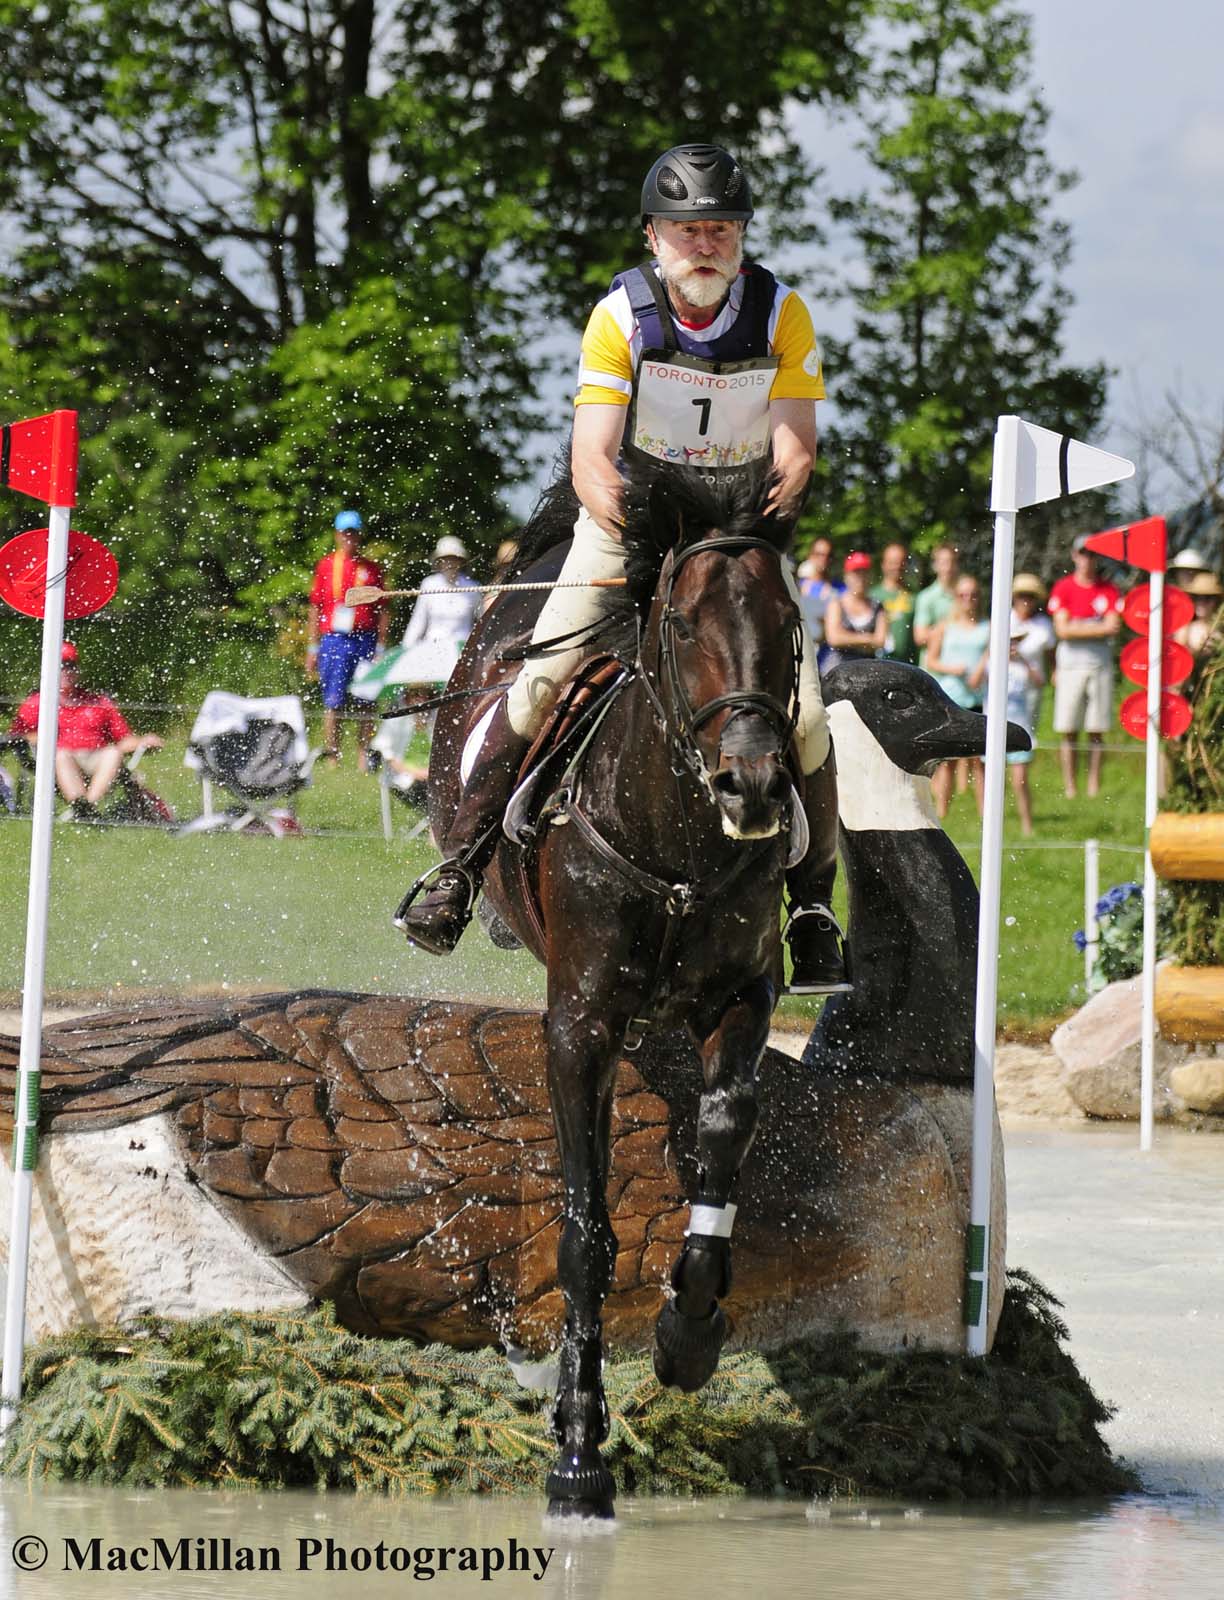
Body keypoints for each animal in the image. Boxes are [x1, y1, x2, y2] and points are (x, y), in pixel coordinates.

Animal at [428, 467, 803, 1523]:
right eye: (682, 624)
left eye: (791, 620)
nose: (753, 782)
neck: (677, 838)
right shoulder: (580, 1024)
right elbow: (583, 1234)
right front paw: (577, 1455)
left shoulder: (741, 999)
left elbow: (723, 1138)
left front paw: (689, 1335)